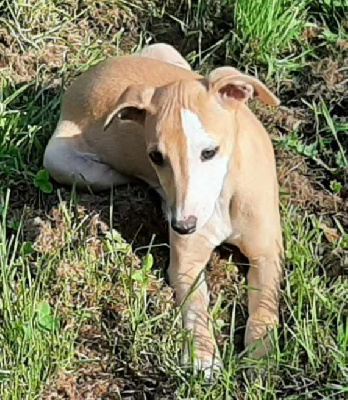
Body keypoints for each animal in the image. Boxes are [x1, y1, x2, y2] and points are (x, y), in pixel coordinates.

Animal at [43, 43, 284, 378]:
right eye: (157, 156)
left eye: (209, 152)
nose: (183, 225)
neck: (222, 195)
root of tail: (87, 76)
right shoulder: (185, 262)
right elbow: (195, 305)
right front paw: (203, 356)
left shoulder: (268, 252)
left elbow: (264, 306)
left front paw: (260, 358)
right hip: (63, 161)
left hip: (167, 51)